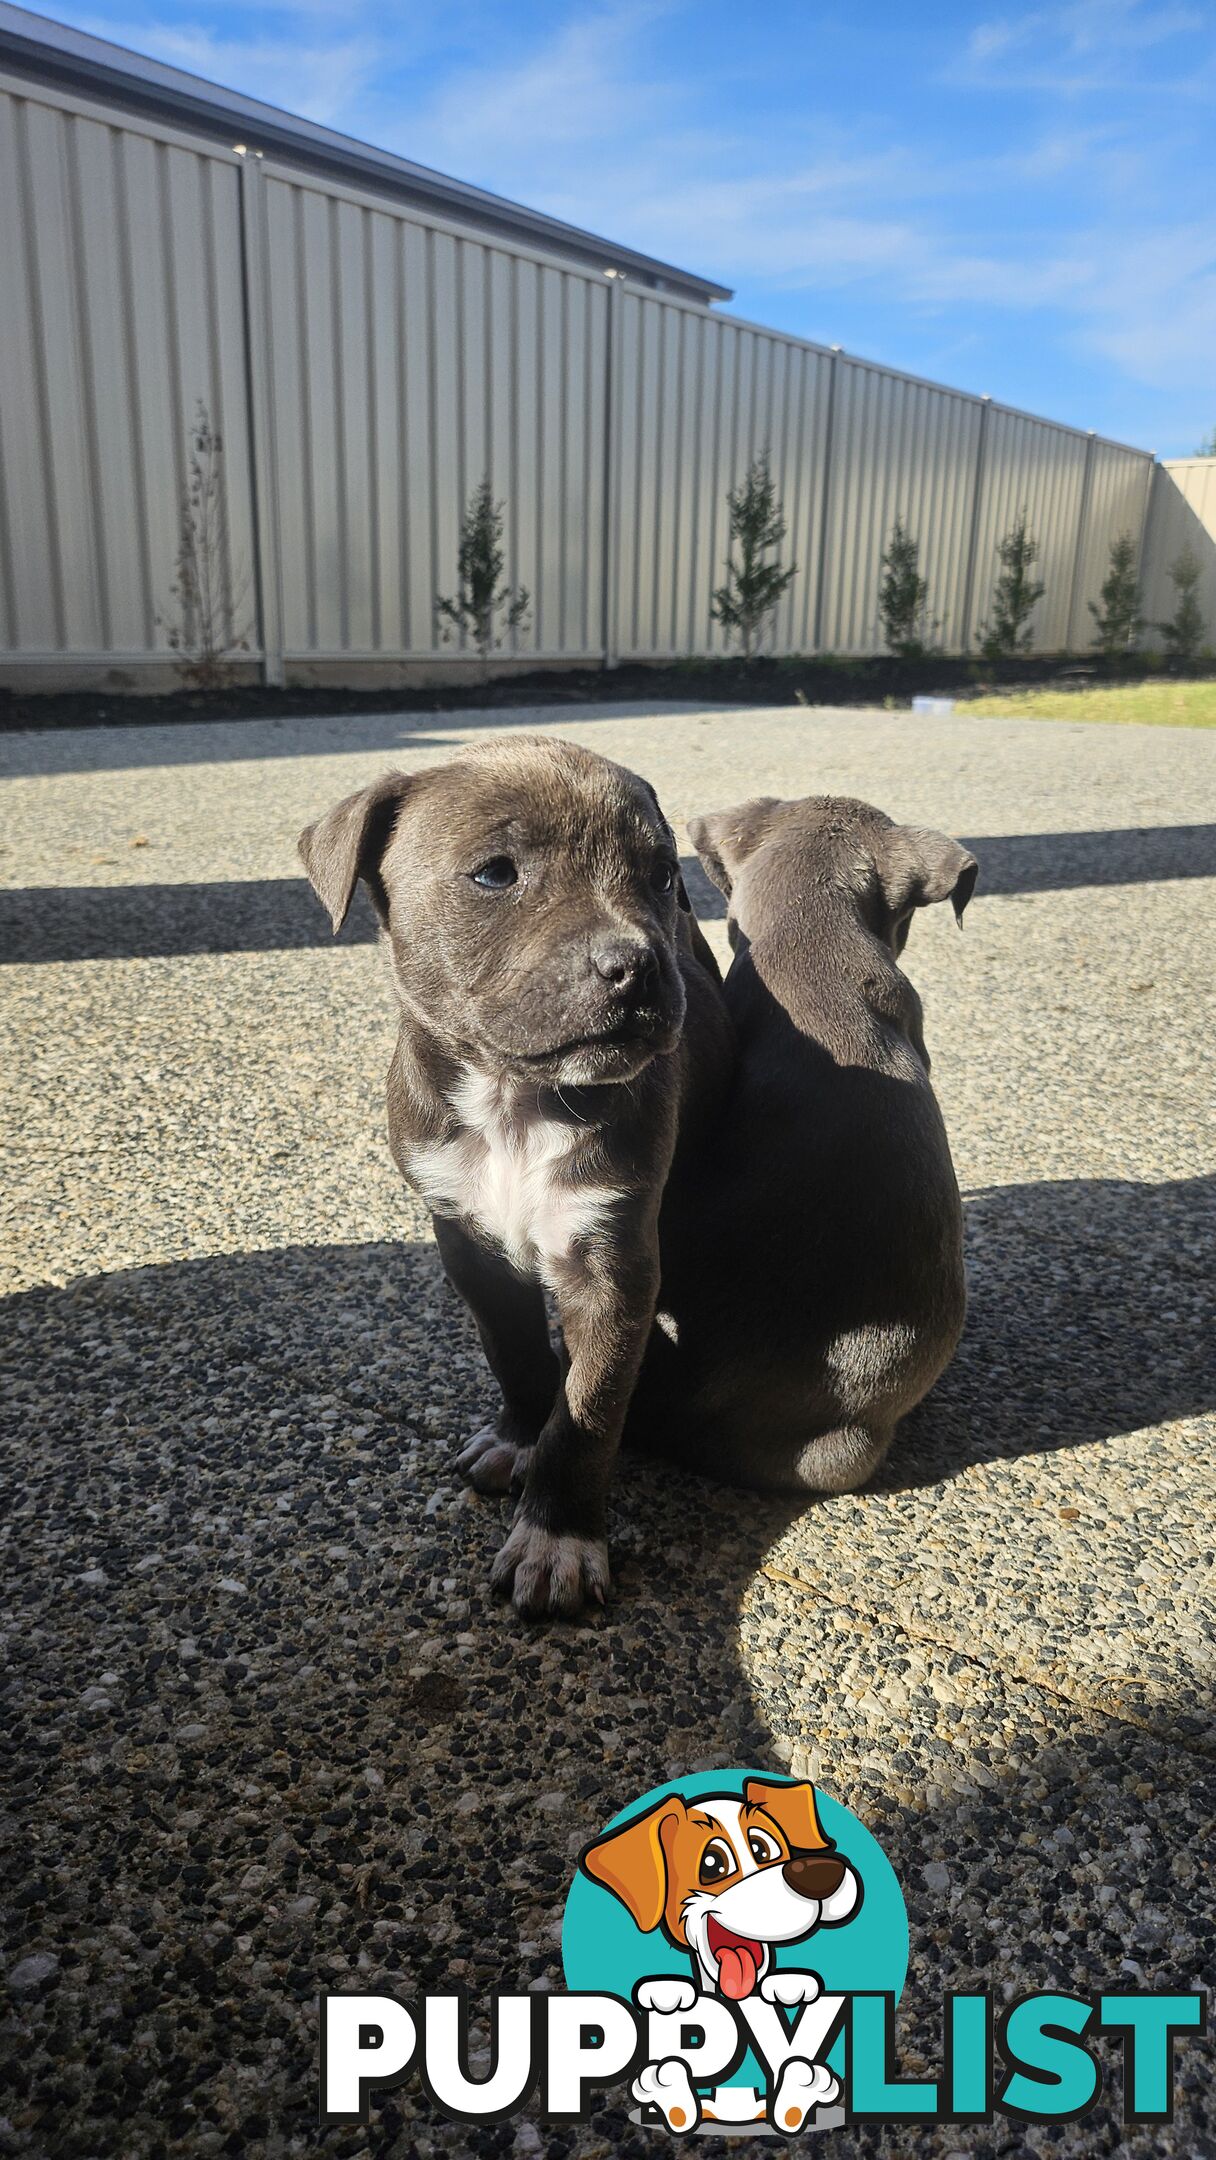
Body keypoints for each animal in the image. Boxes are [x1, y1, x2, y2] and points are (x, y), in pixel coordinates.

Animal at [298, 734, 730, 1615]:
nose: (636, 964)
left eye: (663, 875)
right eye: (496, 874)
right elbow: (517, 1352)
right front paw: (516, 1436)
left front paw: (558, 1540)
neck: (513, 1098)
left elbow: (589, 1411)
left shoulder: (613, 1267)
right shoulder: (467, 1242)